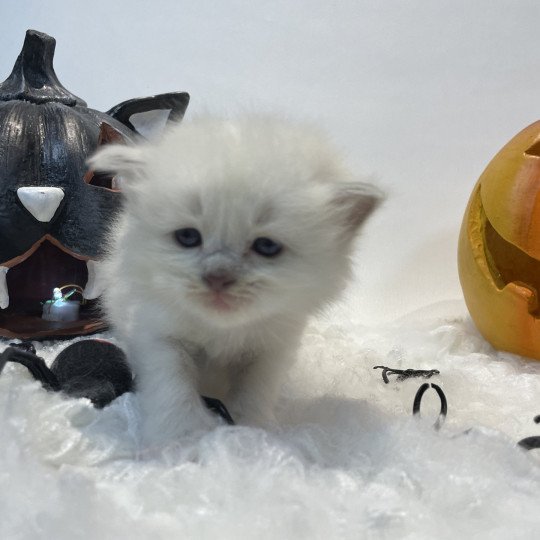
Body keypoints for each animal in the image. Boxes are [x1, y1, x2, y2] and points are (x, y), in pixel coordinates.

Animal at [88, 116, 382, 446]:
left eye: (267, 246)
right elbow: (173, 391)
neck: (221, 330)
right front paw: (178, 441)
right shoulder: (158, 335)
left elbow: (254, 394)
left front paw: (248, 437)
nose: (218, 277)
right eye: (188, 237)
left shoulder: (270, 349)